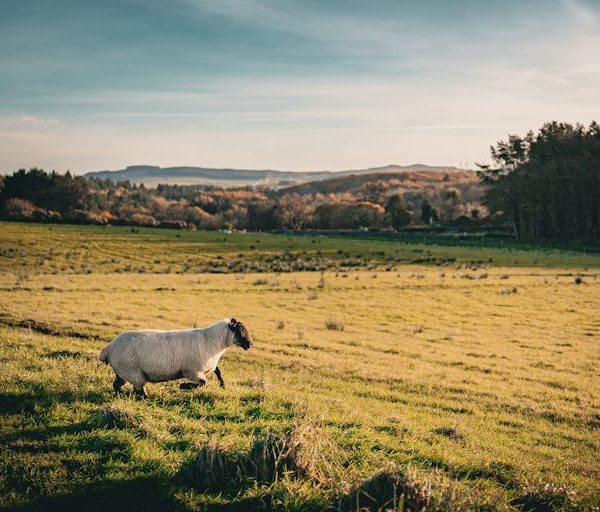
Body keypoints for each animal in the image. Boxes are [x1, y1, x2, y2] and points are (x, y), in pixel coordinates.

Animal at [98, 318, 251, 398]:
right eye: (240, 330)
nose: (250, 344)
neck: (212, 340)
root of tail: (108, 348)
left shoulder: (206, 367)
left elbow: (218, 371)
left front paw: (223, 385)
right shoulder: (191, 371)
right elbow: (203, 382)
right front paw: (183, 386)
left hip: (123, 372)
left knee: (117, 385)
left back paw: (120, 395)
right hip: (133, 372)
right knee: (139, 390)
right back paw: (147, 399)